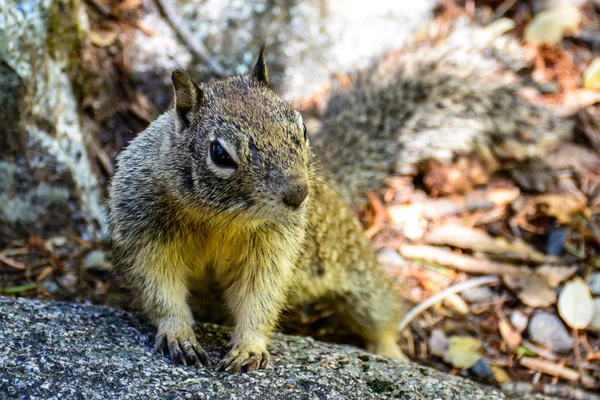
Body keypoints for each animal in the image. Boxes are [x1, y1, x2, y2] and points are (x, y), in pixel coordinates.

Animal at [110, 25, 568, 372]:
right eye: (220, 154)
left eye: (301, 128)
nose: (299, 194)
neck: (219, 218)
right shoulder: (143, 230)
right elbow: (159, 288)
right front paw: (179, 334)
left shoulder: (275, 247)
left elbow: (261, 296)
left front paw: (249, 347)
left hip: (358, 275)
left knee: (382, 313)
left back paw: (390, 352)